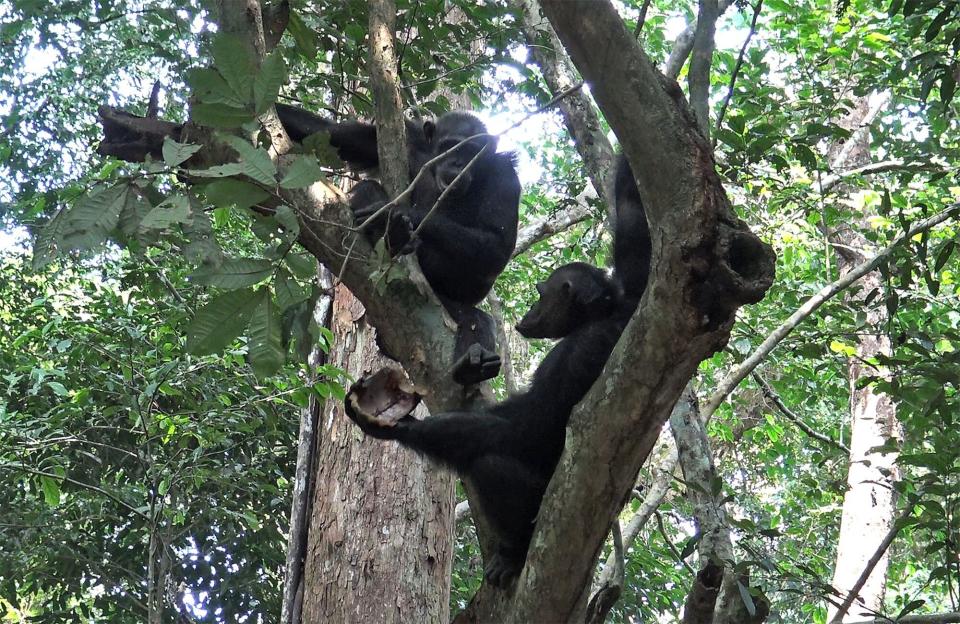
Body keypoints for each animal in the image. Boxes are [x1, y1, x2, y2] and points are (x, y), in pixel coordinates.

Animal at [274, 103, 520, 386]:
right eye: (450, 147)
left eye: (471, 153)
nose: (457, 164)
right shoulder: (406, 138)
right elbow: (326, 133)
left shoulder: (505, 176)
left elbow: (497, 245)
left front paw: (394, 213)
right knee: (366, 187)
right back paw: (392, 234)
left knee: (474, 314)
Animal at [344, 262, 632, 584]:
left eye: (541, 293)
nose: (532, 309)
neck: (594, 318)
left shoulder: (575, 353)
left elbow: (527, 427)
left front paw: (397, 426)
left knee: (490, 466)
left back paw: (514, 553)